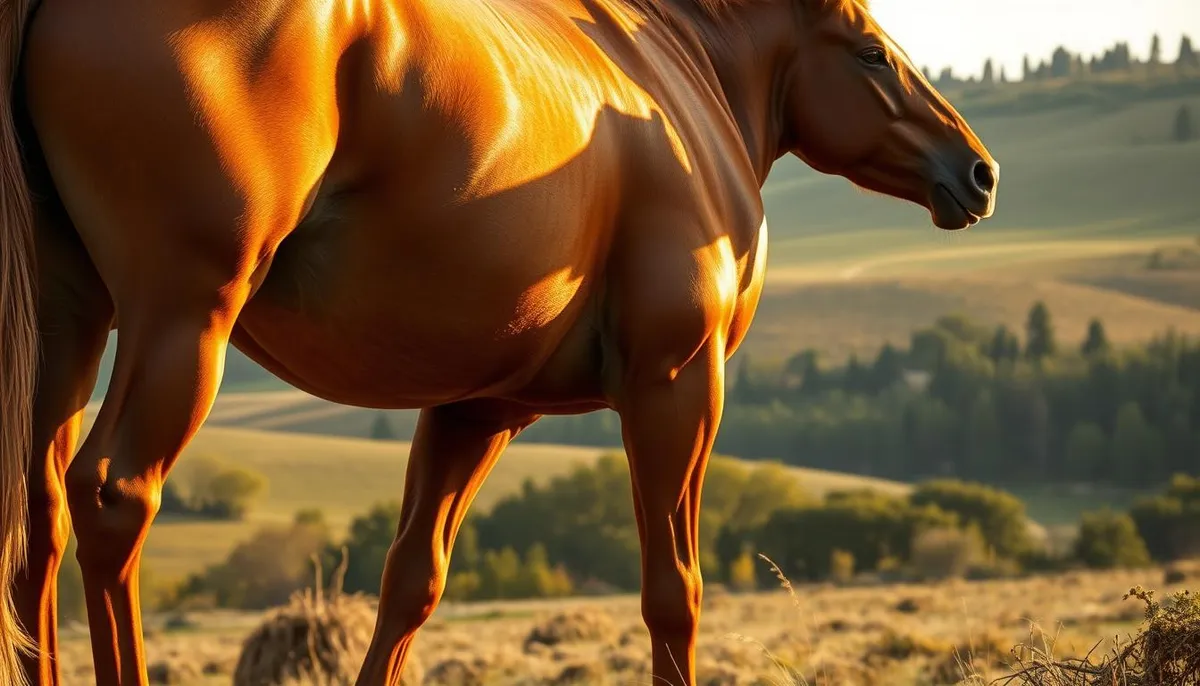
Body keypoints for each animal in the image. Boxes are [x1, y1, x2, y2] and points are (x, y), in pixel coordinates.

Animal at [0, 0, 997, 683]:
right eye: (872, 52)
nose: (979, 172)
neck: (678, 81)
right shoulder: (676, 384)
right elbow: (673, 592)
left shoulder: (478, 407)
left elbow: (412, 581)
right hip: (183, 318)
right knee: (114, 496)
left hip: (70, 326)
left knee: (39, 517)